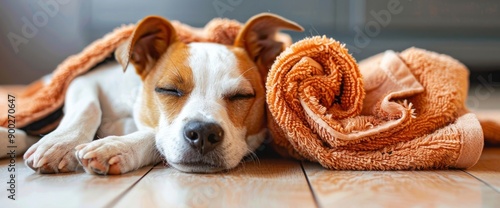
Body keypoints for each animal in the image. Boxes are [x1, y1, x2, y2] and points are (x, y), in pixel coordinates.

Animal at [23, 13, 302, 174]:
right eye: (169, 90)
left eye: (241, 96)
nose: (203, 133)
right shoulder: (84, 80)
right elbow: (88, 107)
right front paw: (59, 144)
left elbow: (154, 136)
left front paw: (115, 148)